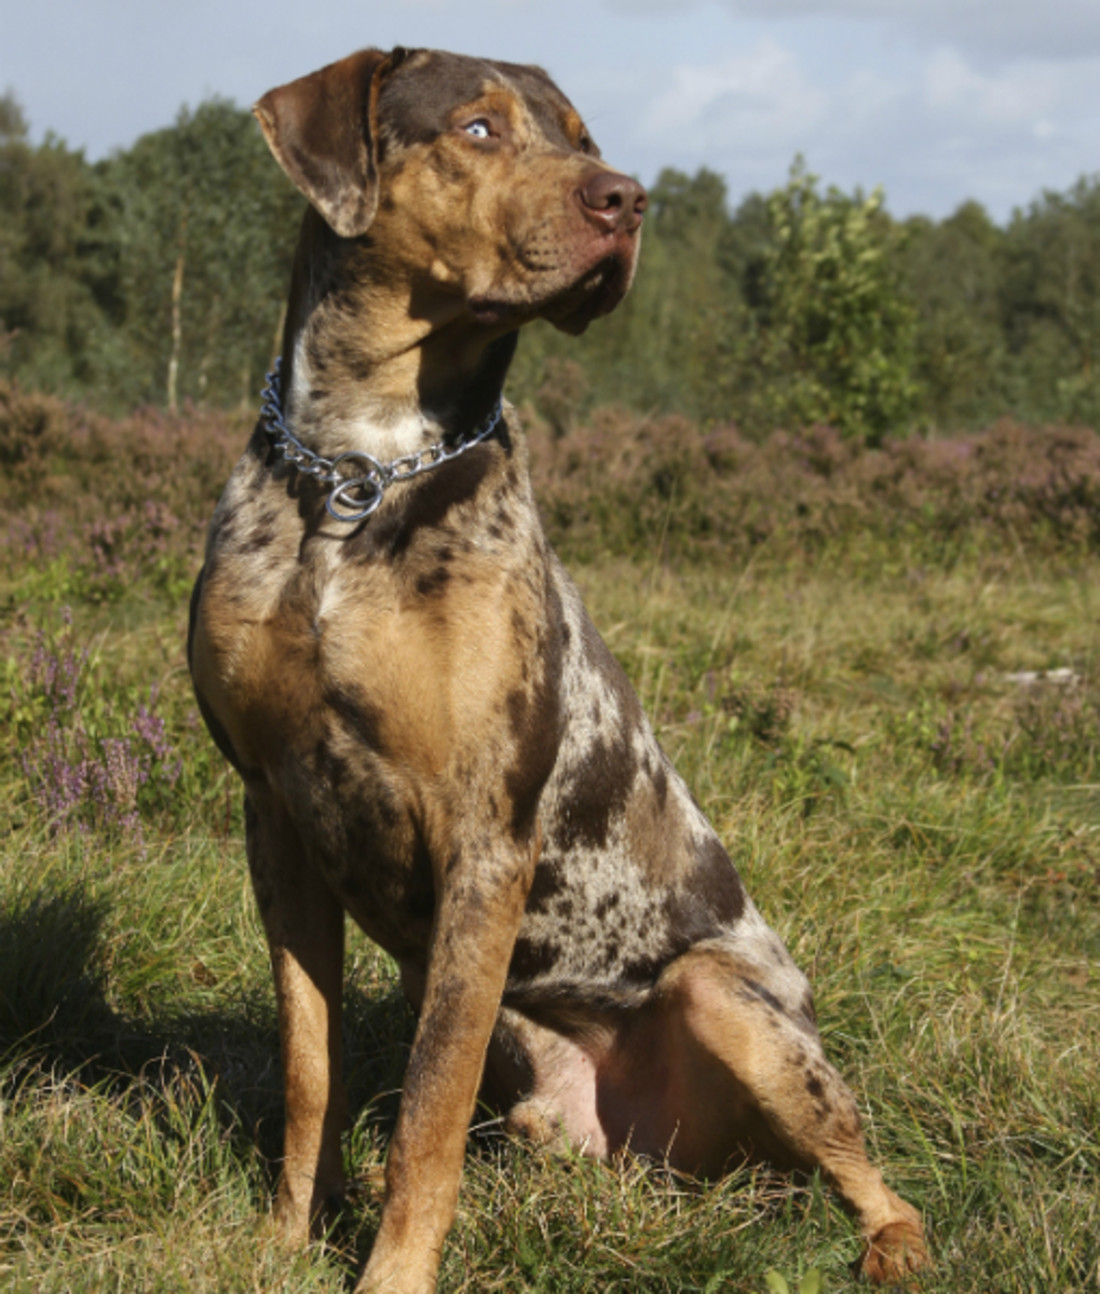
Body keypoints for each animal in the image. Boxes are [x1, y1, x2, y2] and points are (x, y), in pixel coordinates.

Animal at [188, 45, 926, 1288]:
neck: (356, 469)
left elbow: (425, 1113)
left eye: (585, 137)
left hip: (732, 1004)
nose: (625, 198)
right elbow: (309, 1069)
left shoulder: (483, 837)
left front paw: (389, 1273)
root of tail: (669, 1162)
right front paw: (285, 1240)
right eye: (479, 128)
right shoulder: (275, 817)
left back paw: (890, 1248)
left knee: (874, 1173)